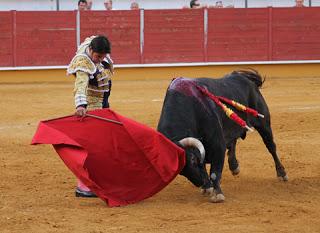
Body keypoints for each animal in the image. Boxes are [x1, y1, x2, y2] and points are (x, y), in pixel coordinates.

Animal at [157, 69, 288, 202]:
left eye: (192, 160)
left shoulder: (217, 144)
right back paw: (234, 166)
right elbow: (204, 166)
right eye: (180, 171)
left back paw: (282, 173)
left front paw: (217, 194)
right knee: (233, 141)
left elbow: (214, 172)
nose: (200, 182)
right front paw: (207, 187)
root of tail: (244, 77)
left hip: (264, 123)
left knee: (271, 146)